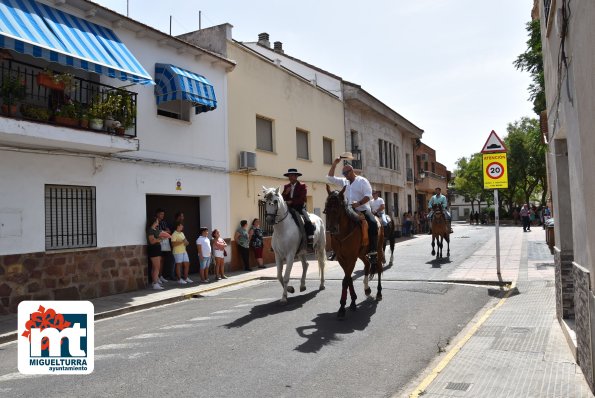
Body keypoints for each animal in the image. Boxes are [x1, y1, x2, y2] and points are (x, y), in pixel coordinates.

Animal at [326, 185, 386, 318]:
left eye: (338, 206)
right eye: (326, 205)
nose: (331, 229)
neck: (344, 232)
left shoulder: (351, 257)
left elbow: (346, 280)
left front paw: (343, 307)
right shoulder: (342, 258)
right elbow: (348, 279)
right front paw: (352, 302)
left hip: (378, 250)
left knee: (379, 268)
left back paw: (379, 293)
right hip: (361, 253)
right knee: (367, 265)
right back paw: (367, 289)